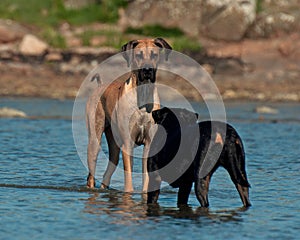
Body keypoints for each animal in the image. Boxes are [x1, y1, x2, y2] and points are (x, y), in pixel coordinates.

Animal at [85, 38, 172, 191]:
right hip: (94, 141)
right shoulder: (128, 143)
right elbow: (129, 176)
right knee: (91, 175)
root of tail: (100, 86)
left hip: (114, 147)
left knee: (108, 172)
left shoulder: (149, 144)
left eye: (154, 55)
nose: (147, 70)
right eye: (139, 55)